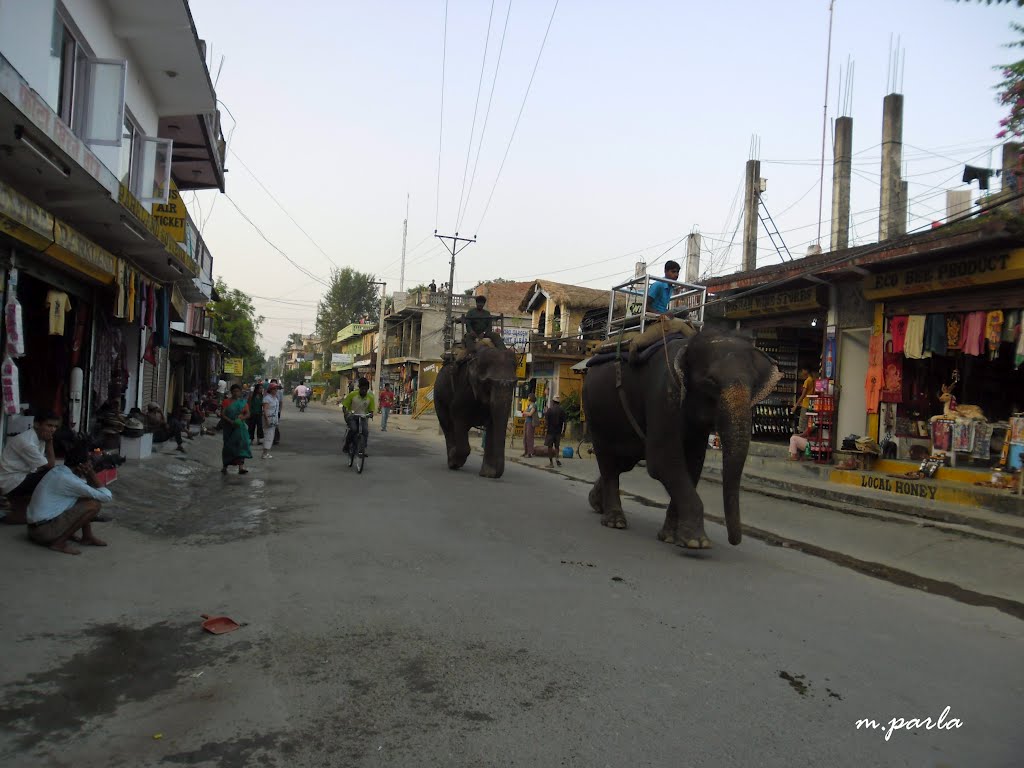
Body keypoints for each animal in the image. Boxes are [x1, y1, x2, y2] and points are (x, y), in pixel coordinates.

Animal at [432, 344, 516, 479]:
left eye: (515, 383)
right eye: (488, 383)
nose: (494, 475)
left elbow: (493, 424)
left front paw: (487, 474)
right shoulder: (464, 388)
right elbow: (458, 416)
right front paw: (456, 459)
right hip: (439, 396)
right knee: (447, 425)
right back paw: (452, 460)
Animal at [581, 333, 778, 548]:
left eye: (754, 386)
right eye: (710, 382)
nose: (734, 541)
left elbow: (693, 465)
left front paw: (670, 537)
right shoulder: (664, 394)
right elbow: (663, 461)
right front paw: (697, 542)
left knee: (623, 463)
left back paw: (595, 503)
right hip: (594, 411)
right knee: (608, 461)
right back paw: (614, 521)